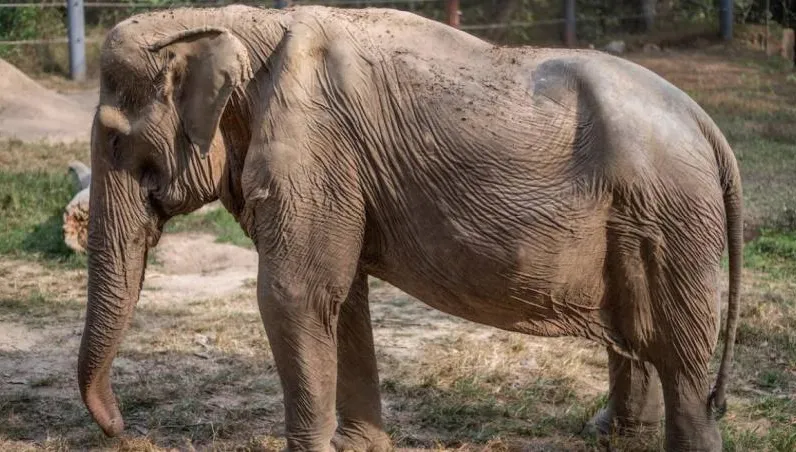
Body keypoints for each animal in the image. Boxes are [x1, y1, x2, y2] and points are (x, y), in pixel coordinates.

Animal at [78, 5, 743, 452]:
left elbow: (295, 295)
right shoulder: (337, 171)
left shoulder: (315, 149)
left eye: (114, 141)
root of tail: (710, 127)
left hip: (673, 219)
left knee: (680, 354)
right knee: (638, 333)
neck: (237, 21)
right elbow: (340, 299)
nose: (124, 430)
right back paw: (609, 436)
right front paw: (357, 448)